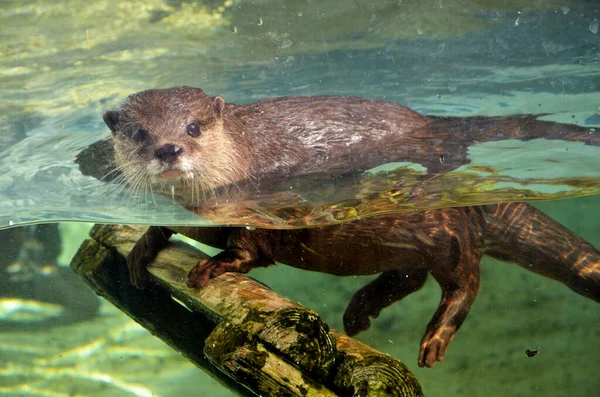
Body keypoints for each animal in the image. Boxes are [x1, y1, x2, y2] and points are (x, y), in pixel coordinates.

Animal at [103, 87, 600, 368]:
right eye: (139, 133)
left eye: (193, 127)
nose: (168, 149)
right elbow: (159, 229)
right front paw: (140, 249)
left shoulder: (261, 212)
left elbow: (249, 247)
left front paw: (214, 266)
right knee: (412, 276)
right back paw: (361, 310)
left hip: (449, 234)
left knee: (466, 282)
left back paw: (433, 340)